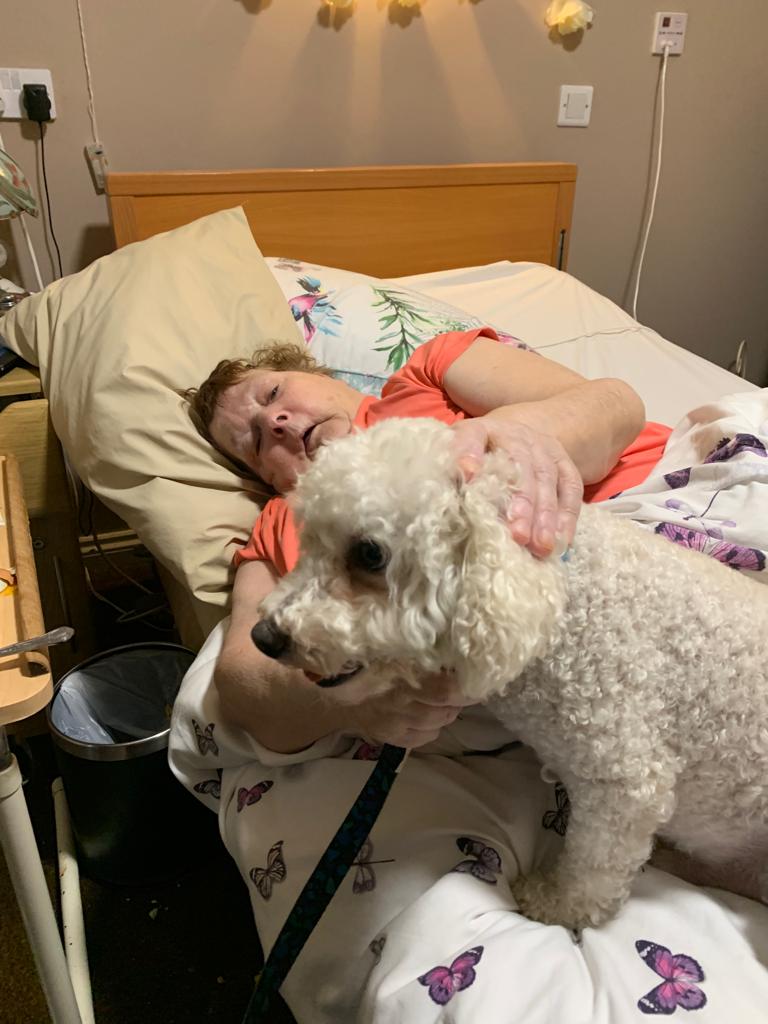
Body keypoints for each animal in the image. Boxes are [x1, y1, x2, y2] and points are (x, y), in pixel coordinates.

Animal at [252, 417, 768, 929]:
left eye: (369, 554)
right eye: (307, 541)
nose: (263, 637)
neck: (557, 599)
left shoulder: (626, 780)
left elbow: (593, 867)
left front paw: (554, 903)